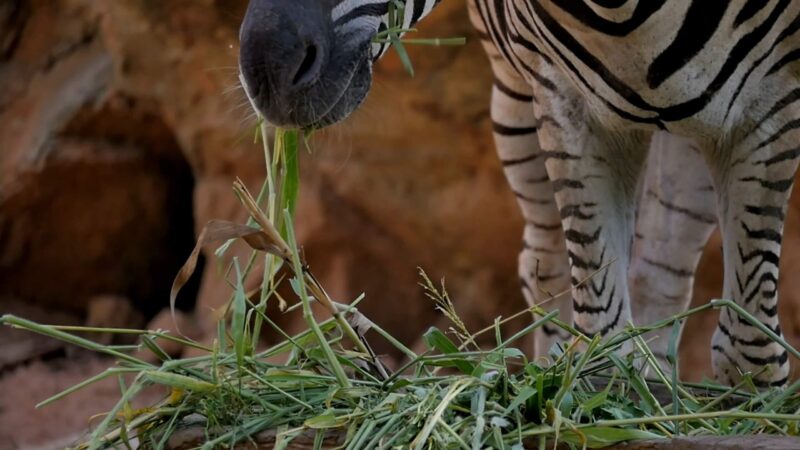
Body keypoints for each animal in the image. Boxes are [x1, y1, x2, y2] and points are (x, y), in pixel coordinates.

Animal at [238, 0, 792, 386]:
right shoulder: (564, 96)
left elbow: (750, 348)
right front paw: (605, 402)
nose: (266, 71)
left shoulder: (771, 100)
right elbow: (603, 332)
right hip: (513, 89)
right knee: (544, 264)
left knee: (664, 260)